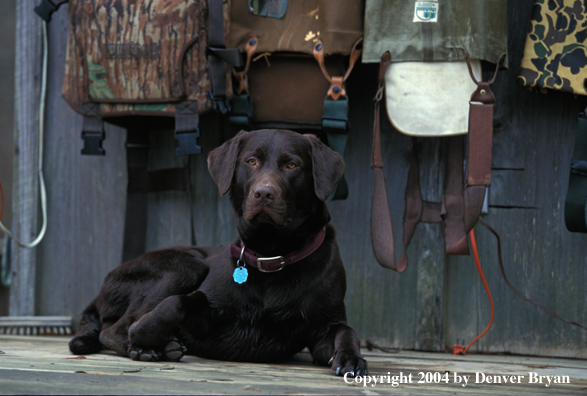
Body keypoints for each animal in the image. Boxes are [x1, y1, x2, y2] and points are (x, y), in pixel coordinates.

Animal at [70, 130, 368, 378]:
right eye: (251, 161)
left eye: (292, 165)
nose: (263, 193)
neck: (271, 254)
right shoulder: (205, 320)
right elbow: (176, 303)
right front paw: (144, 333)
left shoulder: (322, 328)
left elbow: (346, 330)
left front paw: (352, 359)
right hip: (186, 266)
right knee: (112, 329)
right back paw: (147, 347)